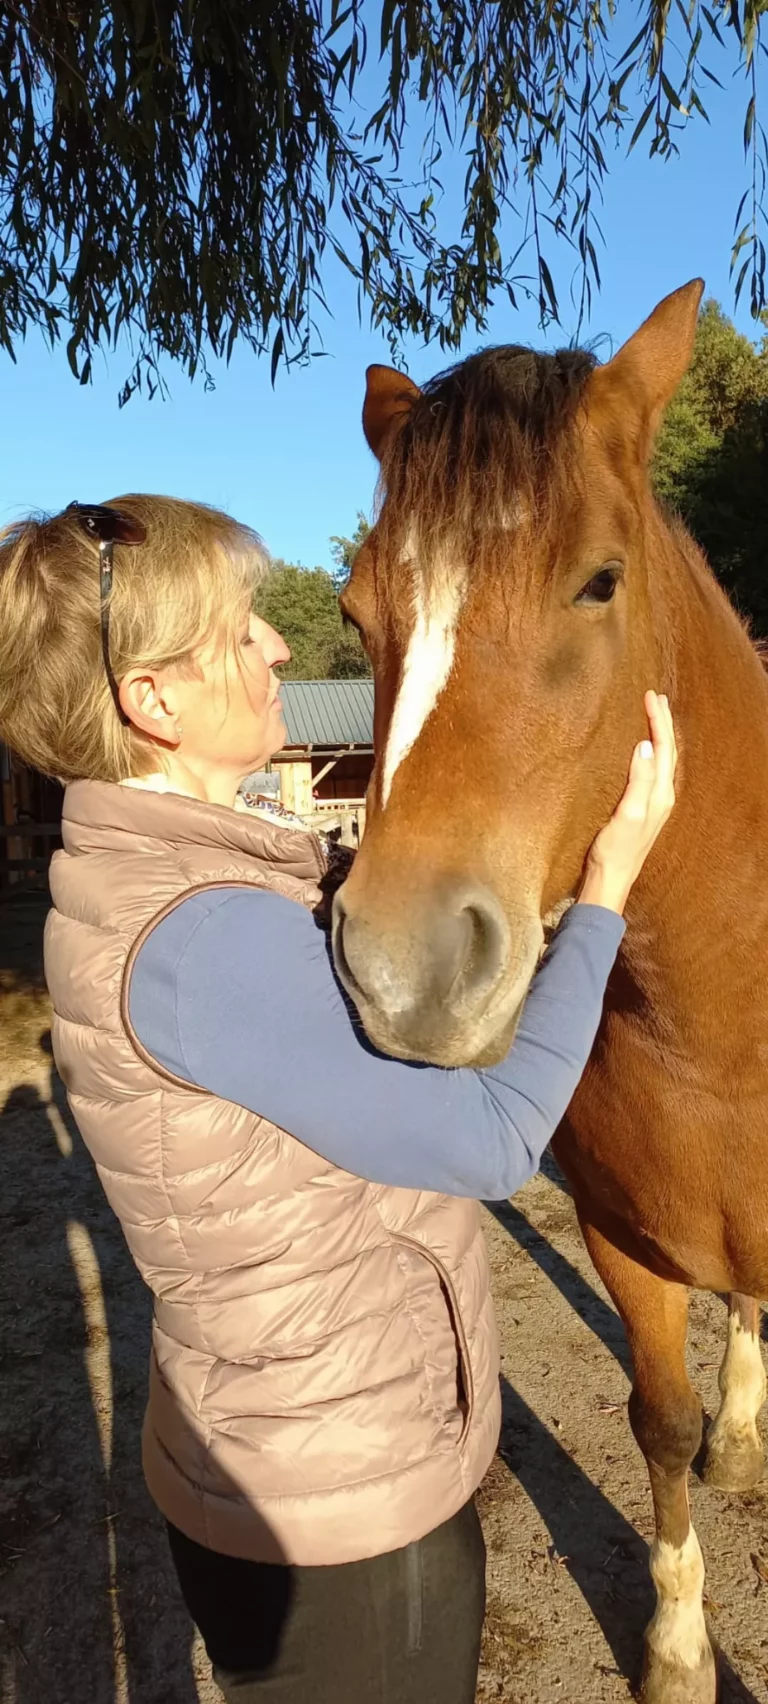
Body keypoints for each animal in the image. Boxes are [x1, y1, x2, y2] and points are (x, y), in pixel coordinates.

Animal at [333, 286, 768, 1704]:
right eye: (356, 612)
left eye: (600, 580)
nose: (401, 966)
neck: (722, 1033)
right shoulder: (626, 1246)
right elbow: (661, 1421)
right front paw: (678, 1647)